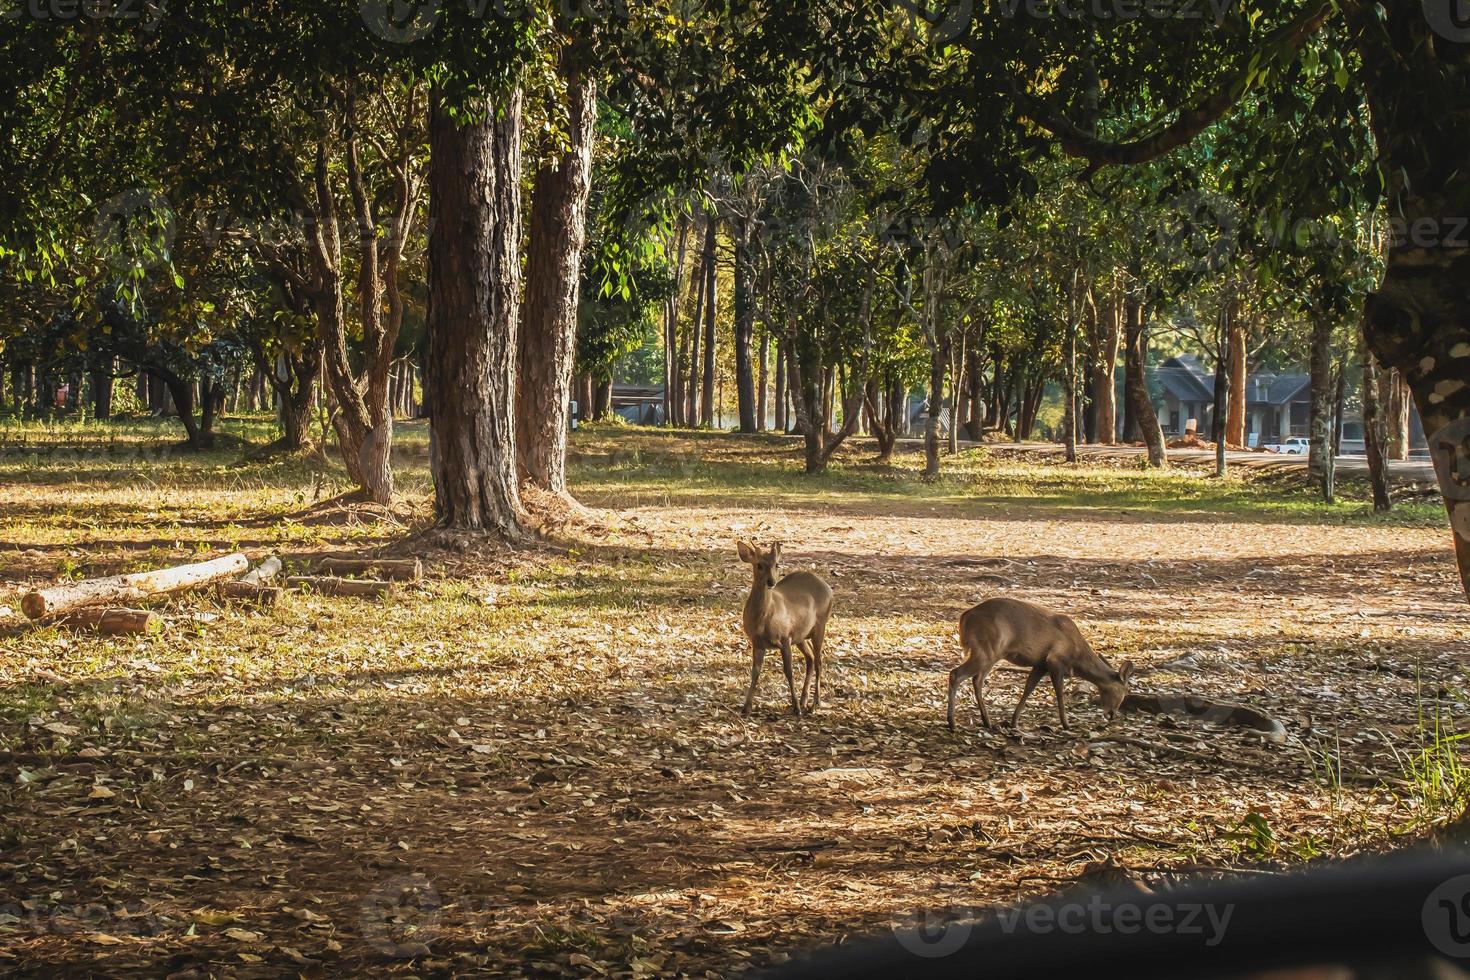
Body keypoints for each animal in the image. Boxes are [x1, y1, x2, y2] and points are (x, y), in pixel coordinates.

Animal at [735, 540, 829, 717]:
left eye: (777, 564)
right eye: (759, 565)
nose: (771, 582)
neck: (764, 619)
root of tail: (828, 588)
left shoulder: (785, 637)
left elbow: (788, 671)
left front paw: (796, 708)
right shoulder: (757, 642)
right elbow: (755, 672)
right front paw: (746, 707)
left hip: (820, 625)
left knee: (819, 661)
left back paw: (815, 703)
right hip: (800, 635)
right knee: (810, 658)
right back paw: (804, 700)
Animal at [946, 593, 1128, 731]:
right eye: (1122, 690)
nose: (1112, 714)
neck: (1076, 656)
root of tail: (964, 617)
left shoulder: (1040, 664)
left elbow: (1028, 688)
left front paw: (1014, 722)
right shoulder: (1055, 660)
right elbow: (1059, 692)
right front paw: (1066, 724)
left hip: (993, 653)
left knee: (977, 680)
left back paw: (987, 721)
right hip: (986, 649)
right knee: (956, 674)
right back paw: (952, 723)